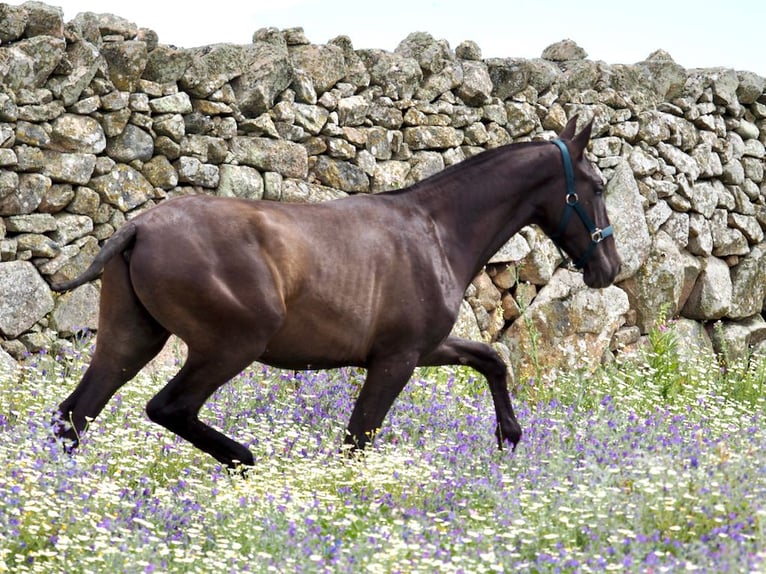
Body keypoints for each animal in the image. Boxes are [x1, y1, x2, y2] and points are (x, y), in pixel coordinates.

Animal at [49, 115, 624, 470]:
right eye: (597, 187)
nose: (610, 268)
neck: (436, 230)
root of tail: (138, 228)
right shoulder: (395, 361)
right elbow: (358, 439)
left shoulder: (424, 348)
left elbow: (491, 358)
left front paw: (509, 434)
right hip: (230, 346)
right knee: (168, 408)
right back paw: (244, 460)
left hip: (131, 342)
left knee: (74, 415)